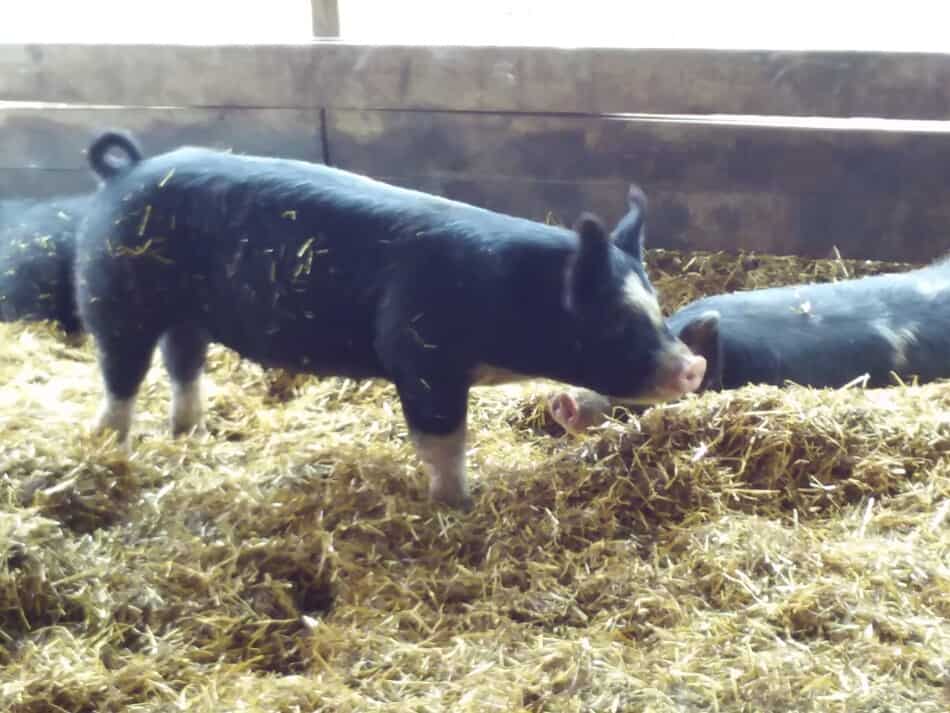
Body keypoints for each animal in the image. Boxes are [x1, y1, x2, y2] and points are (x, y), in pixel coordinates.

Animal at [76, 131, 708, 508]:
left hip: (186, 317)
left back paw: (190, 436)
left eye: (658, 308)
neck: (501, 296)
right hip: (114, 296)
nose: (695, 365)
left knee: (182, 364)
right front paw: (458, 506)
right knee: (120, 376)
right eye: (614, 321)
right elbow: (444, 441)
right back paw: (111, 448)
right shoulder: (420, 357)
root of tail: (123, 174)